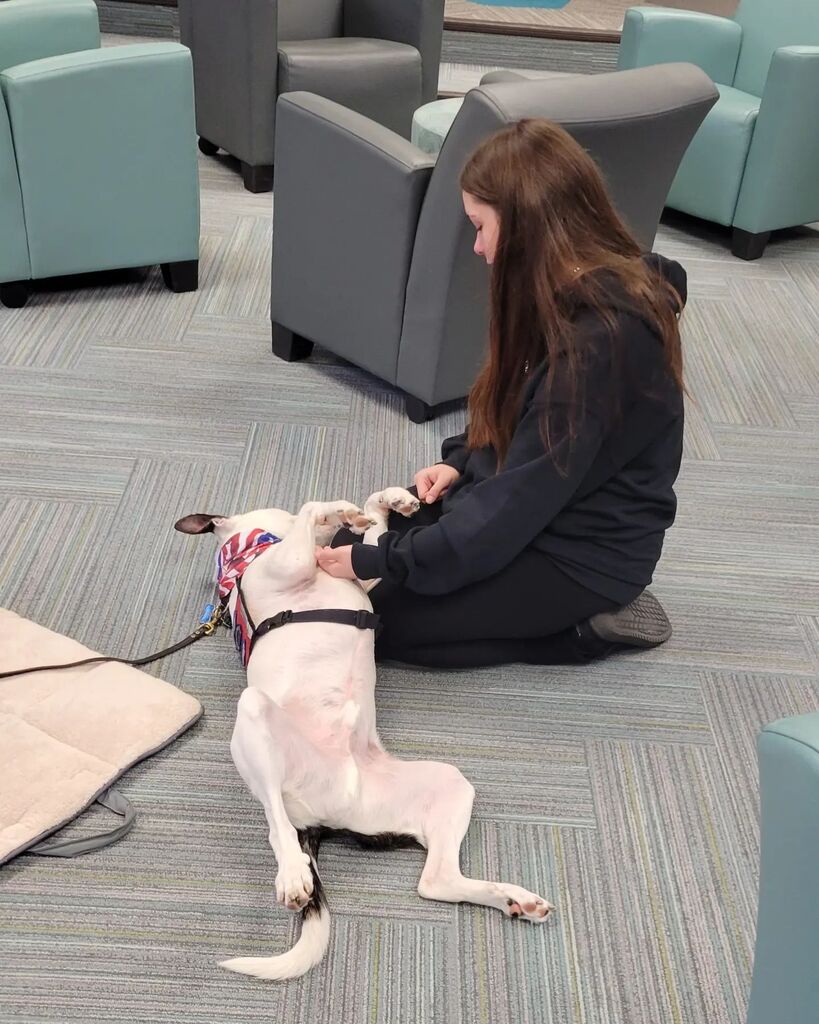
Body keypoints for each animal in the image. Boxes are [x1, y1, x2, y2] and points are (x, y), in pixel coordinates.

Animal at [176, 489, 552, 983]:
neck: (248, 550)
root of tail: (324, 819)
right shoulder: (290, 564)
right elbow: (310, 508)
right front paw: (339, 512)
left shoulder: (365, 580)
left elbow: (372, 545)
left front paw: (384, 505)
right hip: (255, 714)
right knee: (275, 821)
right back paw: (292, 873)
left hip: (445, 785)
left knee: (435, 882)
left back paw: (513, 899)